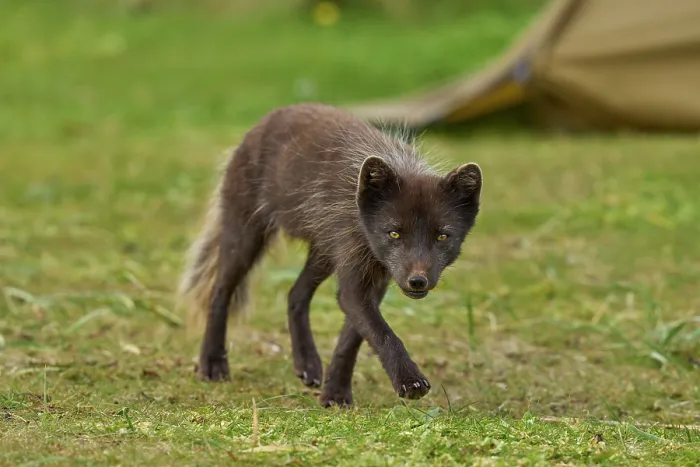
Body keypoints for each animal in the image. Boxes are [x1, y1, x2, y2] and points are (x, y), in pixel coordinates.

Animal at [177, 103, 482, 407]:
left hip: (323, 253)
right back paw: (212, 363)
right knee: (220, 291)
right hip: (246, 236)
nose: (417, 282)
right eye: (394, 234)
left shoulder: (377, 277)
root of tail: (270, 117)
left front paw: (335, 392)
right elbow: (383, 334)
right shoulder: (355, 277)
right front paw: (409, 380)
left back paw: (307, 363)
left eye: (442, 236)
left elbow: (353, 339)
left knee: (295, 294)